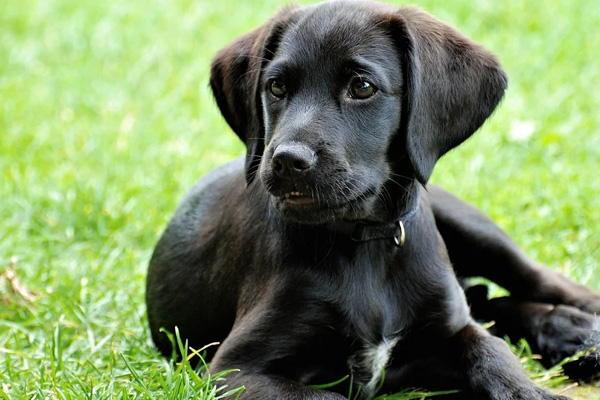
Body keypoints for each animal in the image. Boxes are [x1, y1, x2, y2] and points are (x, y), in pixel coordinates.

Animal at [145, 1, 600, 398]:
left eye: (361, 87)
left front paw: (531, 390)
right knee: (490, 302)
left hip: (469, 225)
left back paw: (582, 330)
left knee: (531, 280)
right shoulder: (237, 369)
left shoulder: (453, 329)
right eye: (275, 87)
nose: (287, 161)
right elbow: (325, 397)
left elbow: (493, 353)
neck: (365, 242)